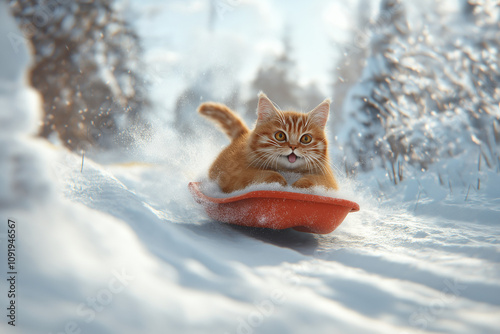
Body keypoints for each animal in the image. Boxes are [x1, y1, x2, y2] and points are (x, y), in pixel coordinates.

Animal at [197, 92, 338, 194]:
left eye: (306, 139)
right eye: (280, 136)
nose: (293, 146)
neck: (288, 172)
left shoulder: (329, 181)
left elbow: (316, 180)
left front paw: (299, 186)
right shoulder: (235, 175)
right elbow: (263, 175)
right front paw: (280, 183)